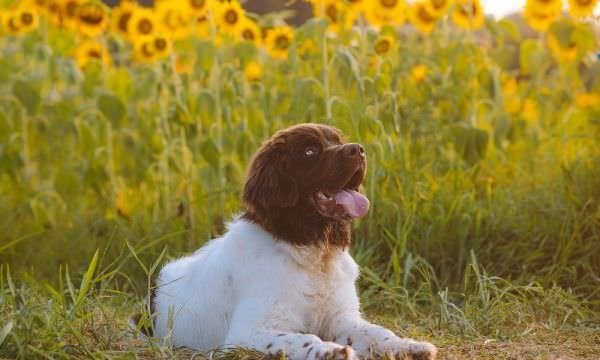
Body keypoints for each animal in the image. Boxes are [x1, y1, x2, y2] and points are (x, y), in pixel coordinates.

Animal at [141, 123, 436, 358]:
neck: (312, 250)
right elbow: (303, 339)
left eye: (337, 141)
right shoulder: (250, 332)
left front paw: (409, 346)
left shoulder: (341, 319)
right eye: (310, 152)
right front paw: (330, 351)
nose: (359, 150)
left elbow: (378, 332)